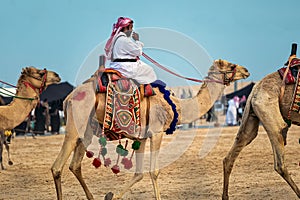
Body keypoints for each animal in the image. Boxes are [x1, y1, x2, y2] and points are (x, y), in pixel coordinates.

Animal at [51, 58, 248, 199]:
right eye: (231, 66)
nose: (246, 70)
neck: (175, 104)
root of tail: (68, 99)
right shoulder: (157, 132)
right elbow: (154, 171)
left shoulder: (142, 137)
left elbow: (139, 174)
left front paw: (112, 196)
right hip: (74, 127)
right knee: (57, 167)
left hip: (87, 131)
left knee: (75, 165)